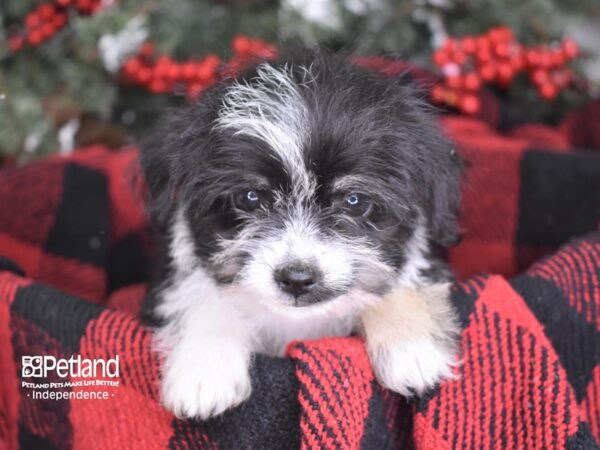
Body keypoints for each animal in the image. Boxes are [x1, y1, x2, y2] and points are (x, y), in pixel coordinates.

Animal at [143, 51, 462, 420]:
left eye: (354, 201)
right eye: (249, 198)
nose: (296, 278)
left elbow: (398, 284)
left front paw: (414, 351)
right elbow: (202, 295)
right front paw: (203, 371)